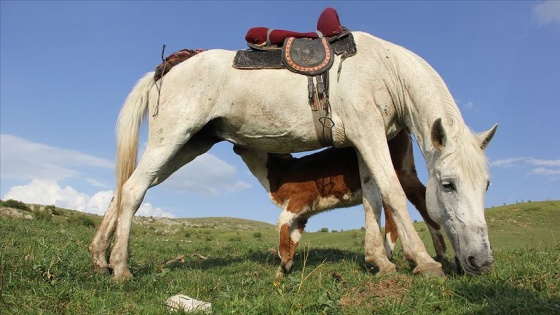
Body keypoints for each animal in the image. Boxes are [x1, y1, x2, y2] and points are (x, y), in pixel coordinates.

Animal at [232, 129, 446, 274]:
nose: (235, 145)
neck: (279, 174)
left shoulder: (302, 197)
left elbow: (281, 220)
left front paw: (283, 257)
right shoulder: (304, 213)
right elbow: (294, 235)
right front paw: (285, 266)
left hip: (388, 167)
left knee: (392, 207)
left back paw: (388, 254)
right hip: (406, 170)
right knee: (421, 197)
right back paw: (441, 252)